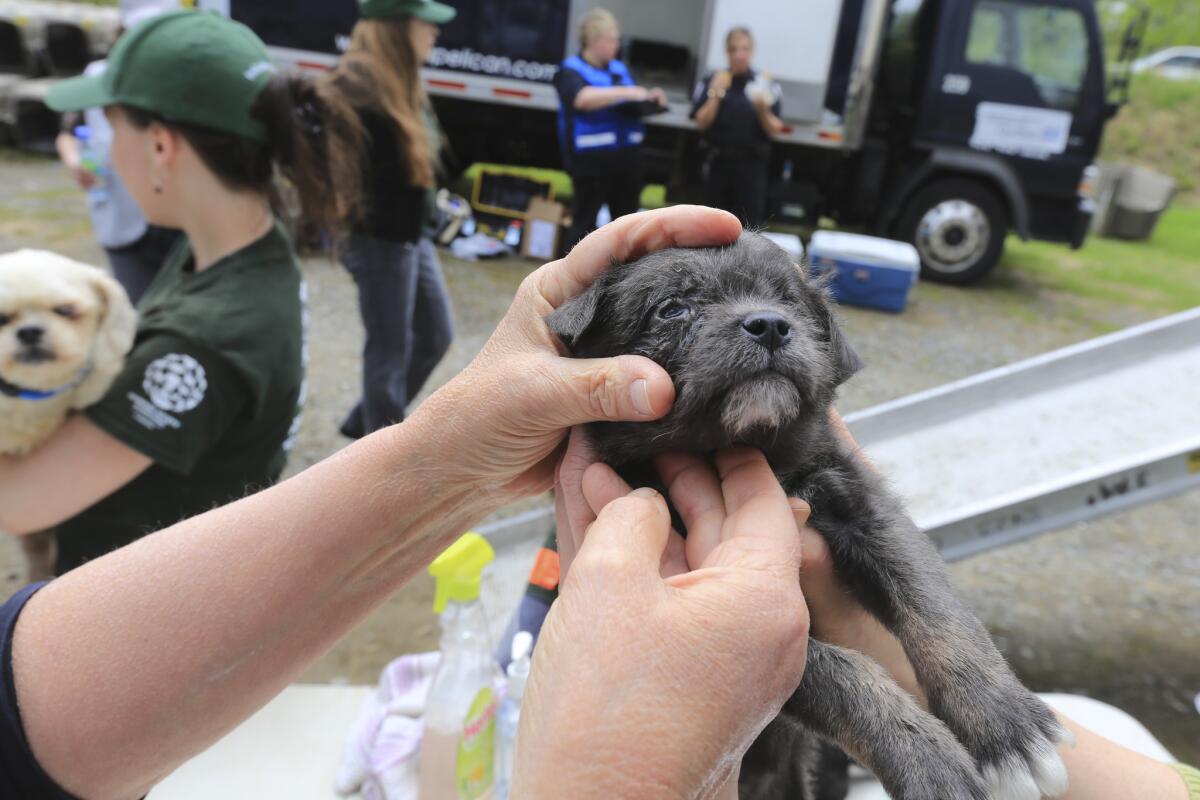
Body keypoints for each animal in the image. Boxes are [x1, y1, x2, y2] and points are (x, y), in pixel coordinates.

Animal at [549, 232, 1075, 800]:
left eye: (791, 304)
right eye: (672, 309)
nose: (770, 324)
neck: (752, 451)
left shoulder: (869, 508)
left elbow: (936, 609)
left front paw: (1006, 724)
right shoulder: (748, 628)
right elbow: (845, 673)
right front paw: (930, 762)